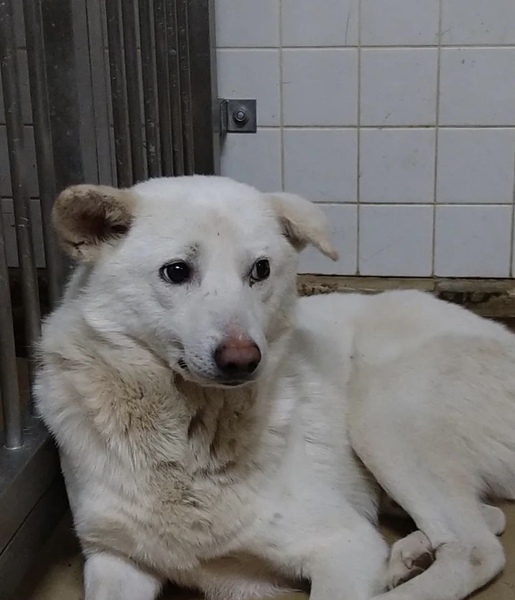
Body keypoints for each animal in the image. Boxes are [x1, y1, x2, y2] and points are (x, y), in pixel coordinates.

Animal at [35, 175, 515, 600]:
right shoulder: (114, 558)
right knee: (485, 519)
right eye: (176, 271)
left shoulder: (345, 547)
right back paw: (411, 555)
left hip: (382, 415)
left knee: (476, 549)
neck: (191, 433)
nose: (243, 359)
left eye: (260, 270)